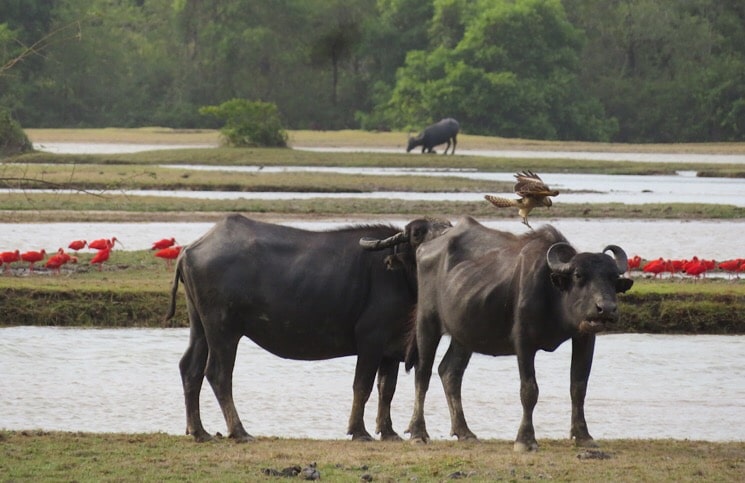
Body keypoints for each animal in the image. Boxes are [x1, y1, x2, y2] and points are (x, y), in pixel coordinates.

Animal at [166, 215, 450, 442]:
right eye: (417, 234)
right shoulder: (370, 341)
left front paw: (388, 432)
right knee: (218, 373)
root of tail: (189, 250)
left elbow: (386, 389)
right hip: (223, 329)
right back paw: (239, 431)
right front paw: (359, 431)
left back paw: (199, 431)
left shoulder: (390, 347)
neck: (401, 276)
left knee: (190, 368)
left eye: (448, 229)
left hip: (200, 326)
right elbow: (363, 385)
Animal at [404, 217, 632, 452]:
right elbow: (529, 390)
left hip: (464, 334)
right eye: (579, 275)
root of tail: (427, 247)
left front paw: (583, 435)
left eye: (613, 278)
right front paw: (525, 440)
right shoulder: (524, 343)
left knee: (450, 372)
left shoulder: (584, 337)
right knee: (423, 374)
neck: (553, 291)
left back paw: (465, 431)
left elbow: (578, 387)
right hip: (427, 322)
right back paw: (418, 432)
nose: (606, 309)